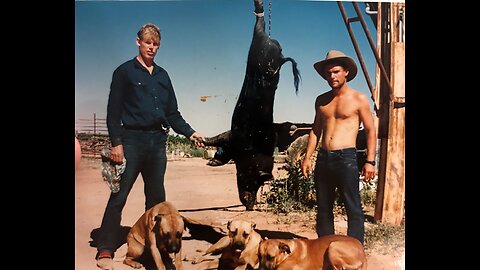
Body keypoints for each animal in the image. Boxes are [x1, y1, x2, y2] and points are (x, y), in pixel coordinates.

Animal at [202, 0, 300, 211]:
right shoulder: (231, 137)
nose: (250, 205)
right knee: (259, 27)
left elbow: (220, 148)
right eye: (255, 179)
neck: (253, 151)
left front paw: (211, 161)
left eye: (259, 183)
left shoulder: (230, 139)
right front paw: (210, 160)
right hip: (261, 45)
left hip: (259, 42)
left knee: (258, 25)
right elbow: (216, 144)